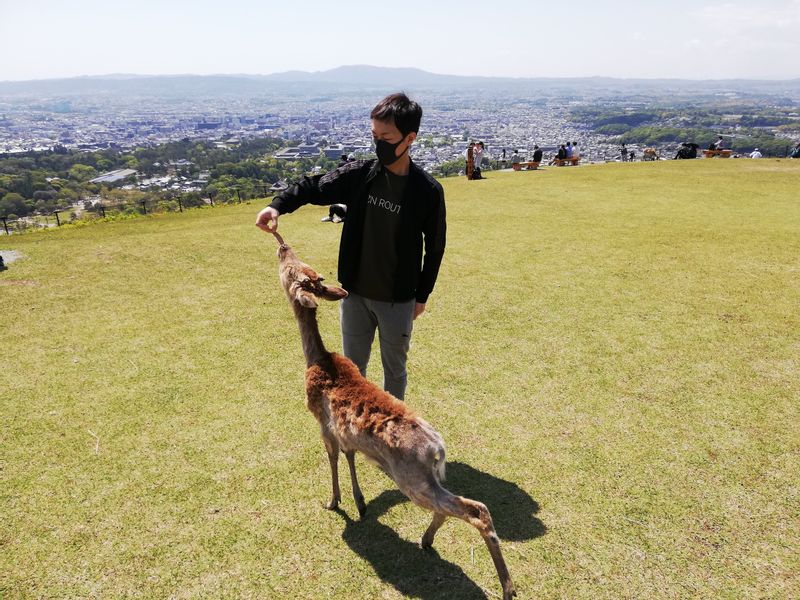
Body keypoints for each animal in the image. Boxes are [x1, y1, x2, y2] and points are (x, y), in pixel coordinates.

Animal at [272, 233, 516, 600]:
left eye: (291, 269)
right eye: (299, 265)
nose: (282, 246)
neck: (316, 358)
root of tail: (437, 448)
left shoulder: (322, 422)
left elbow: (332, 459)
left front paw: (333, 501)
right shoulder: (345, 433)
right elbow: (349, 456)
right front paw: (360, 503)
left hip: (411, 477)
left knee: (473, 510)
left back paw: (507, 586)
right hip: (424, 478)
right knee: (454, 507)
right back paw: (427, 540)